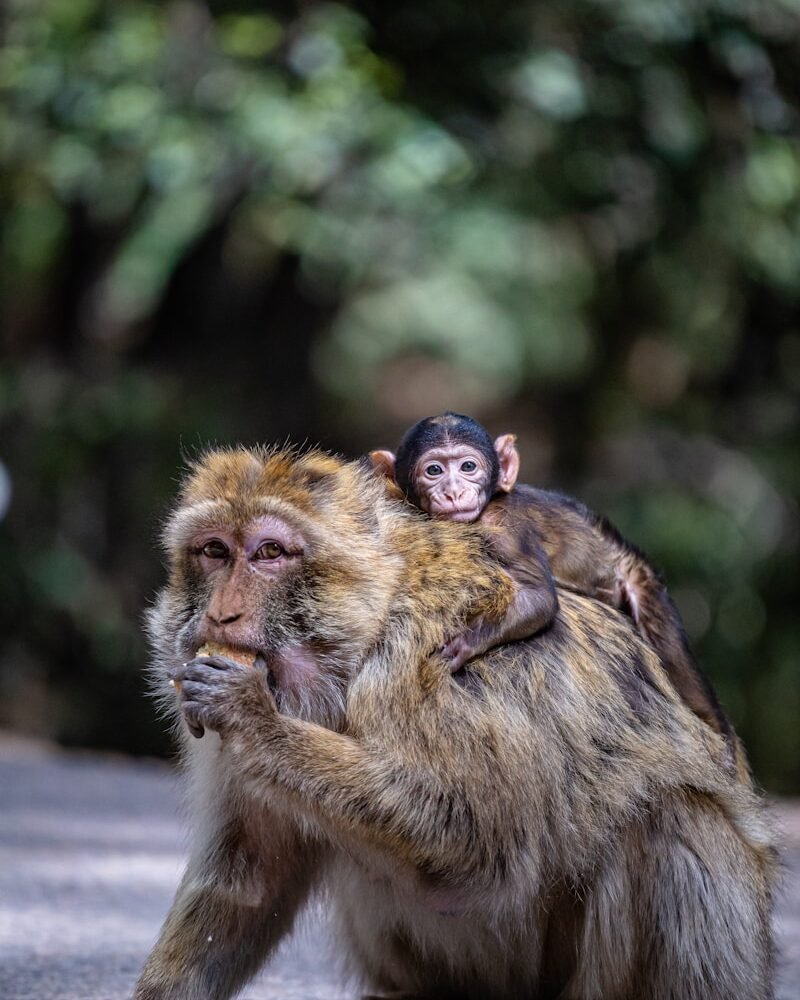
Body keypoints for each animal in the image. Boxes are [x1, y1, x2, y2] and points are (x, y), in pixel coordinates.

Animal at [371, 412, 743, 777]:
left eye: (468, 467)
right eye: (433, 470)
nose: (453, 491)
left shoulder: (505, 527)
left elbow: (539, 599)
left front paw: (465, 643)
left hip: (640, 579)